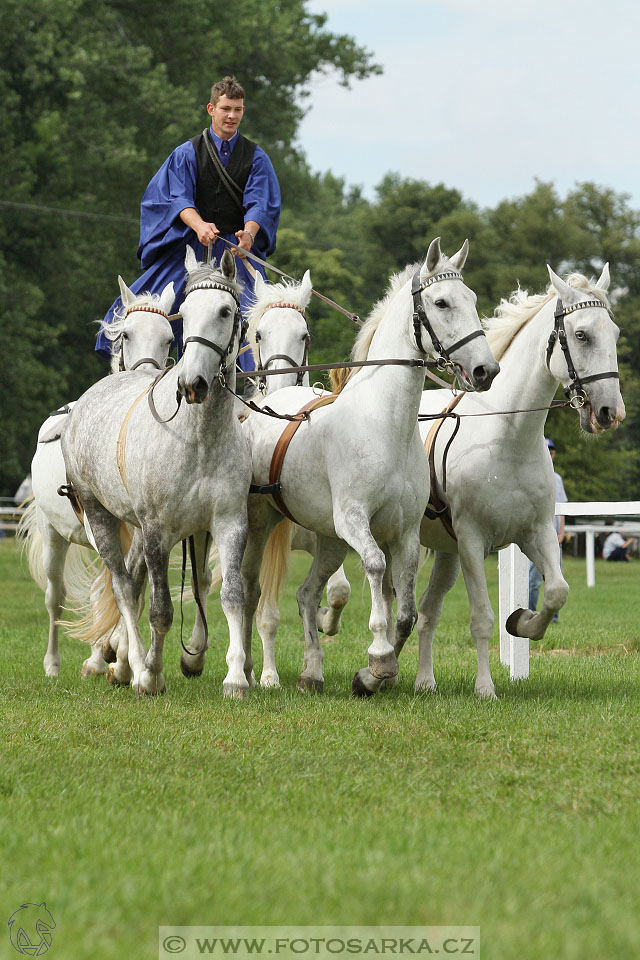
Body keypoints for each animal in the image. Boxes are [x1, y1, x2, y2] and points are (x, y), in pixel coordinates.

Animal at [20, 280, 175, 684]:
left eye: (169, 338)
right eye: (125, 335)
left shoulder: (142, 530)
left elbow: (132, 585)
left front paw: (118, 654)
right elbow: (118, 587)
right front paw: (121, 657)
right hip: (55, 537)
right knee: (55, 597)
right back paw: (54, 663)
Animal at [60, 251, 252, 692]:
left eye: (225, 311)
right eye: (186, 312)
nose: (193, 384)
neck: (199, 439)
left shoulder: (229, 523)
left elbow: (232, 595)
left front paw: (236, 676)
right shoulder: (155, 531)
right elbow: (160, 609)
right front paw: (150, 675)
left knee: (131, 581)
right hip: (99, 515)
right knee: (122, 586)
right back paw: (129, 665)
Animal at [240, 238, 500, 688]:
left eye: (472, 300)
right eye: (442, 302)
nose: (486, 370)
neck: (385, 424)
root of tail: (268, 402)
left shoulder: (406, 533)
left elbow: (407, 610)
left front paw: (374, 675)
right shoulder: (355, 521)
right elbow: (377, 570)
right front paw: (378, 656)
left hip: (328, 539)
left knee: (307, 594)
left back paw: (311, 673)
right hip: (263, 523)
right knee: (252, 592)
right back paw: (247, 673)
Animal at [368, 262, 628, 696]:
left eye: (616, 333)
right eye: (581, 335)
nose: (611, 412)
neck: (508, 438)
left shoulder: (536, 533)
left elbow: (556, 592)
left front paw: (522, 621)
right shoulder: (474, 542)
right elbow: (483, 618)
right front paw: (485, 688)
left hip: (446, 554)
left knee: (427, 610)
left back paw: (424, 682)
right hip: (404, 544)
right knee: (392, 603)